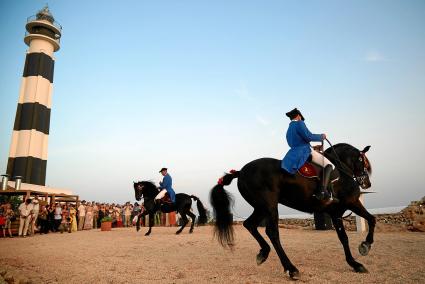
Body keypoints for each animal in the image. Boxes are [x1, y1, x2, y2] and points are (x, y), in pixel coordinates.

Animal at [210, 143, 374, 278]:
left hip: (261, 208)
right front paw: (365, 245)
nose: (367, 183)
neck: (341, 170)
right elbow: (372, 219)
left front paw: (355, 264)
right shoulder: (352, 203)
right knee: (272, 233)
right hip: (269, 206)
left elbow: (344, 238)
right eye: (363, 162)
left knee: (249, 225)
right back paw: (291, 269)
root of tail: (241, 171)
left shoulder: (336, 213)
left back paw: (263, 253)